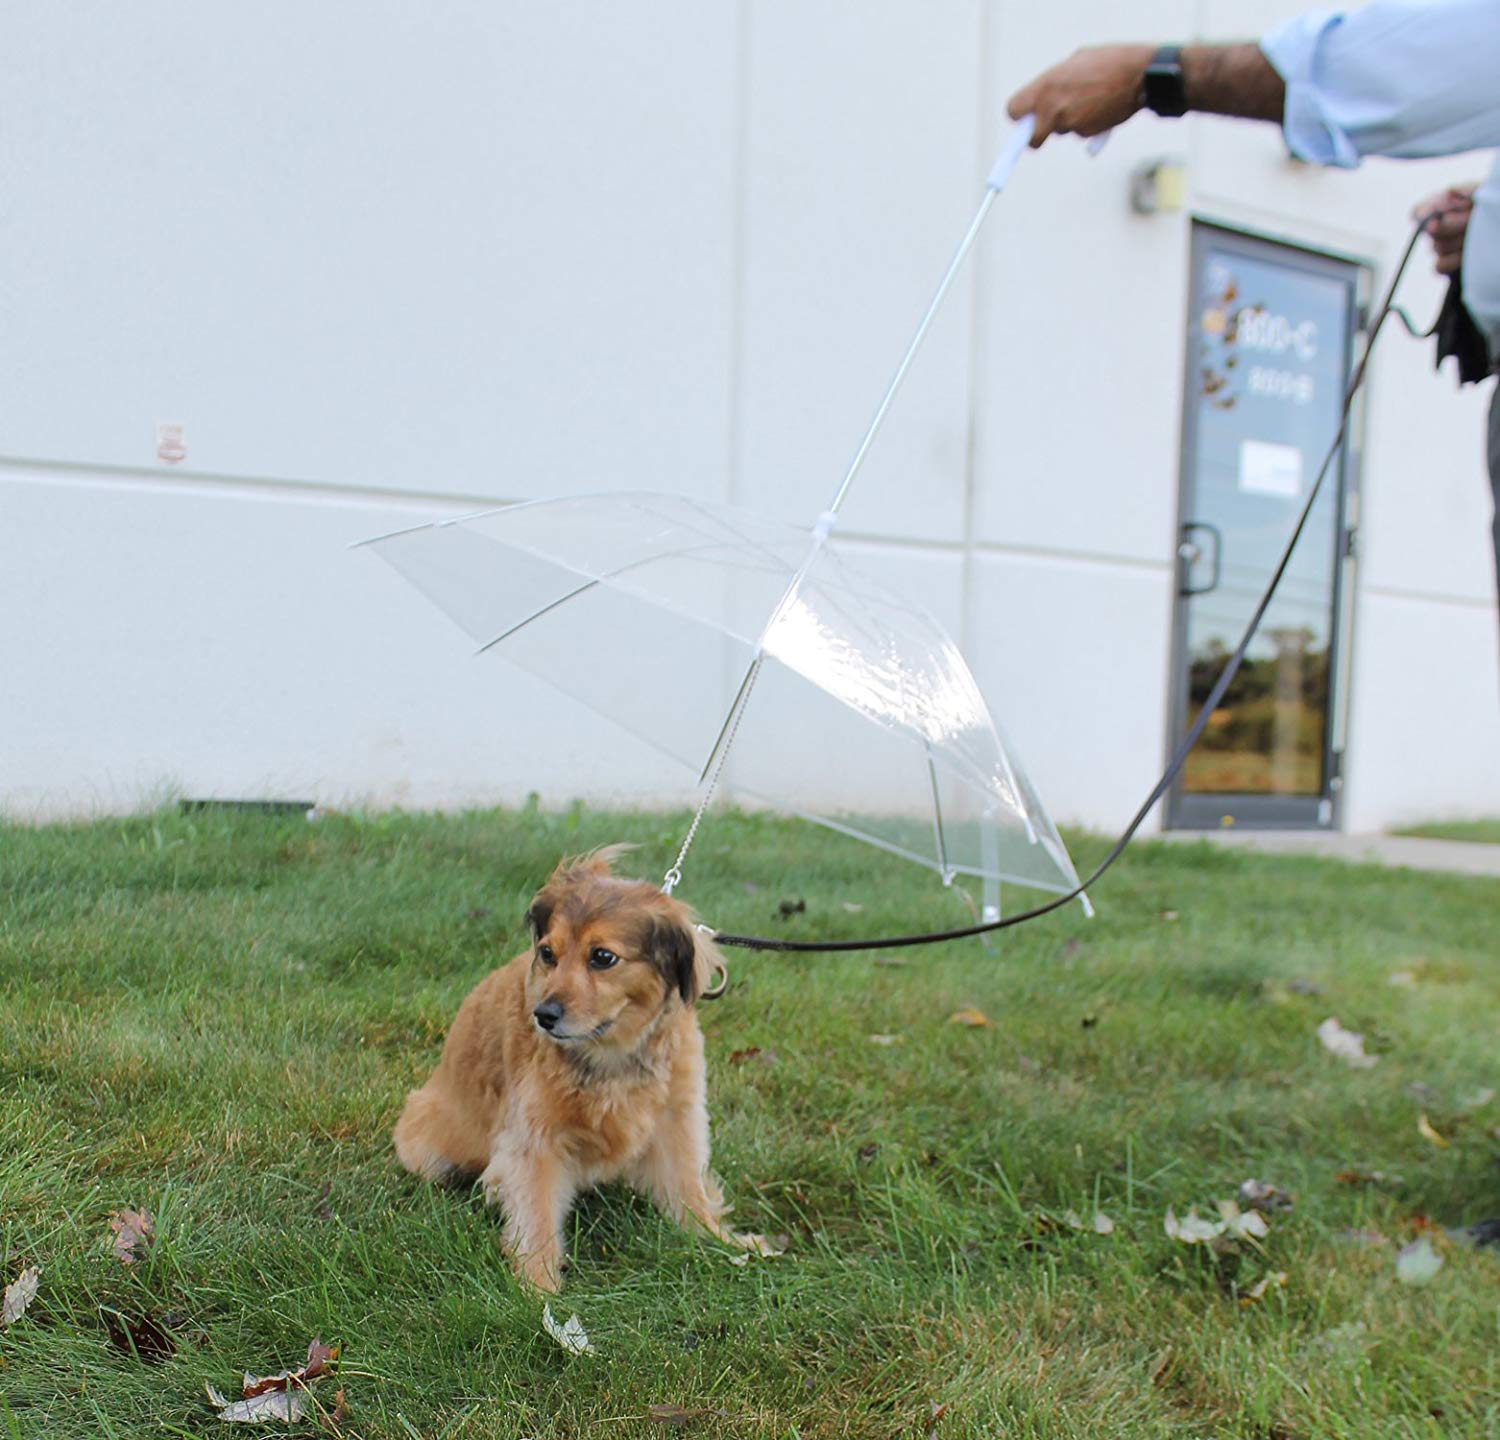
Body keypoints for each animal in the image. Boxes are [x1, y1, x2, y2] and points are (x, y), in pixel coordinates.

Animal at [396, 852, 756, 1290]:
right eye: (548, 953)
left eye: (602, 957)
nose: (544, 1015)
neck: (612, 1054)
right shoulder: (535, 1137)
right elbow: (535, 1215)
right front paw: (538, 1289)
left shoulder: (678, 1118)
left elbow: (689, 1188)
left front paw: (722, 1241)